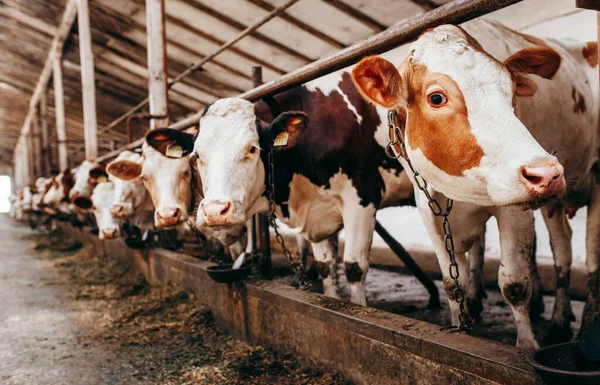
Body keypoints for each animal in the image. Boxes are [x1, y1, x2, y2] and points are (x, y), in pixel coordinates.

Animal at [352, 18, 596, 348]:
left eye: (511, 91)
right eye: (436, 97)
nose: (547, 173)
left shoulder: (513, 208)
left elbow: (514, 284)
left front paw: (527, 346)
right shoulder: (428, 208)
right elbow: (452, 283)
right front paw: (461, 326)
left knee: (578, 254)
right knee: (562, 245)